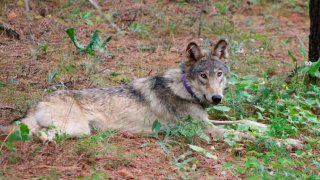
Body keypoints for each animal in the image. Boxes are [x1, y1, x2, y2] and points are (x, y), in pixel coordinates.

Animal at [1, 39, 268, 142]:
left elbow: (241, 122)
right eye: (203, 76)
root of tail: (36, 103)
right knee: (39, 134)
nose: (217, 98)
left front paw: (263, 126)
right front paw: (279, 140)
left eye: (219, 74)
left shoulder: (207, 122)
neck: (185, 90)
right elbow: (240, 134)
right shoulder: (203, 130)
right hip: (78, 129)